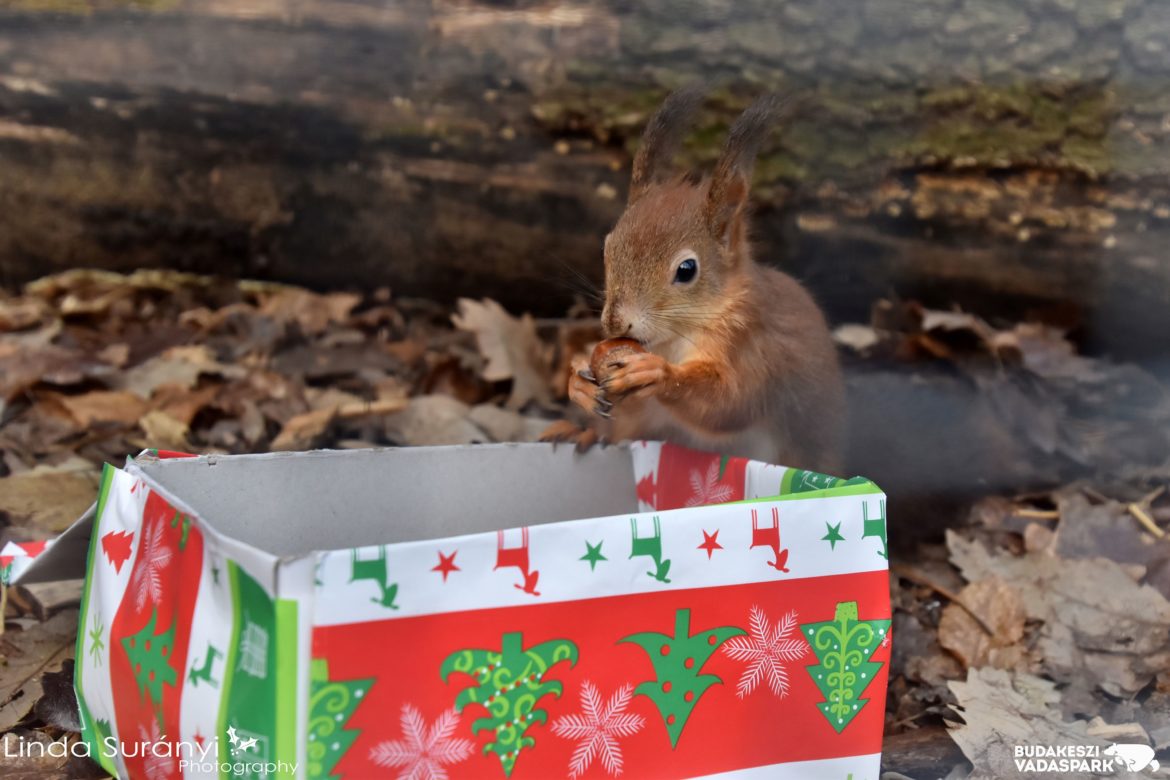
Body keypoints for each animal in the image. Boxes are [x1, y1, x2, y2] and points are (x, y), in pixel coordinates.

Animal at [542, 87, 847, 472]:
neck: (673, 338)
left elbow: (728, 404)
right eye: (607, 247)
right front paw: (578, 381)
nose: (614, 323)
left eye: (686, 270)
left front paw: (655, 373)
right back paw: (581, 432)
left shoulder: (754, 349)